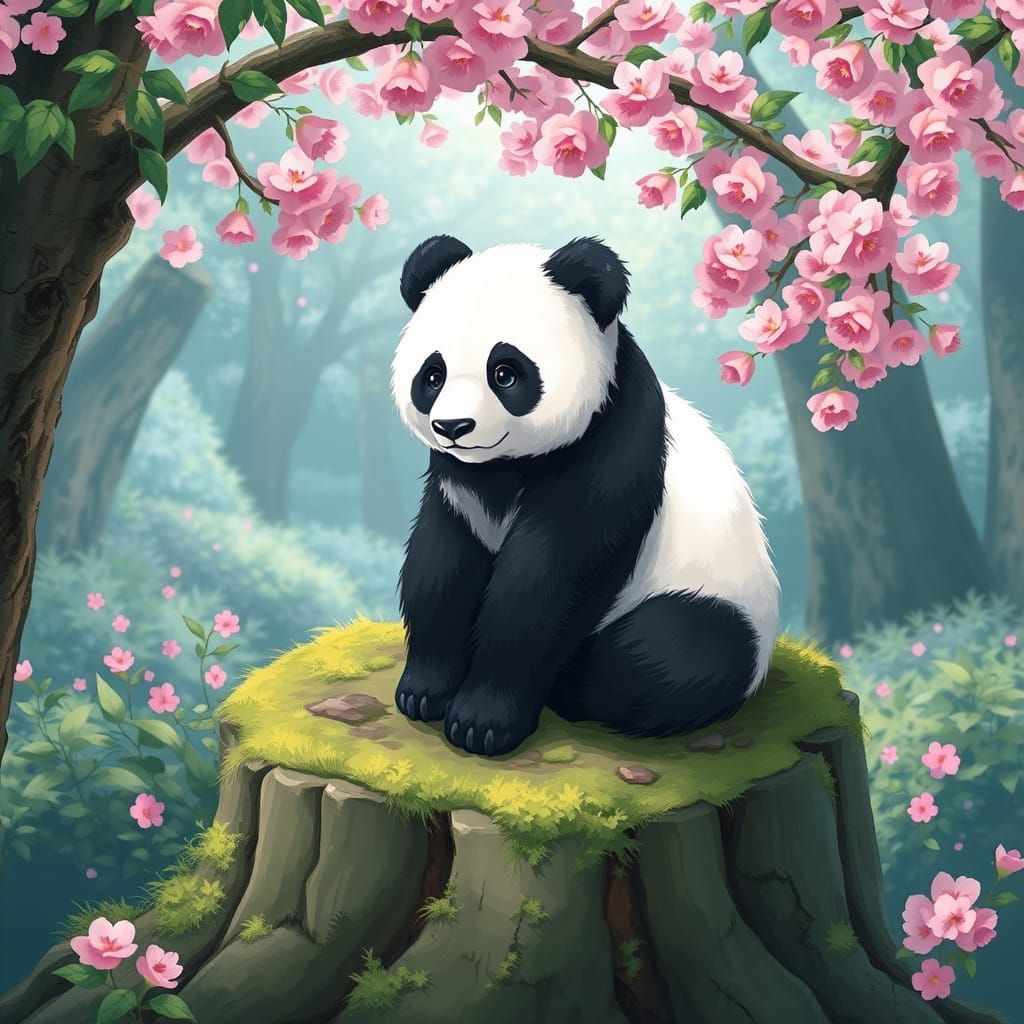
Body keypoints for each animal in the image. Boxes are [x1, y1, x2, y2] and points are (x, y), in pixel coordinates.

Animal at [391, 235, 779, 758]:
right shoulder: (458, 483)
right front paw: (423, 690)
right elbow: (441, 563)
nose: (453, 427)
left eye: (505, 372)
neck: (507, 467)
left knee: (675, 652)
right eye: (432, 376)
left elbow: (548, 584)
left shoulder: (614, 449)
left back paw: (573, 683)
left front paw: (482, 721)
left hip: (718, 598)